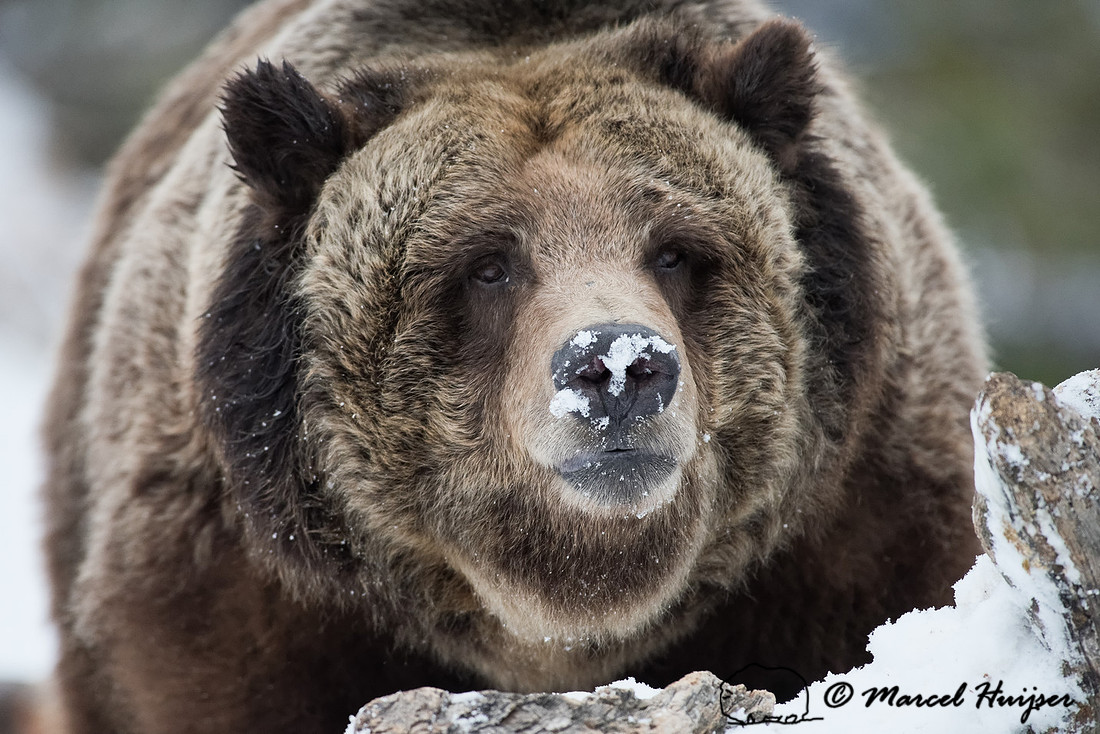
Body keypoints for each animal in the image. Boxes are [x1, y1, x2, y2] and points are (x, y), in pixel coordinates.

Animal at [42, 0, 987, 731]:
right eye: (487, 264)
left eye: (676, 250)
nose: (619, 367)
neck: (552, 619)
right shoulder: (237, 598)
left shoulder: (856, 532)